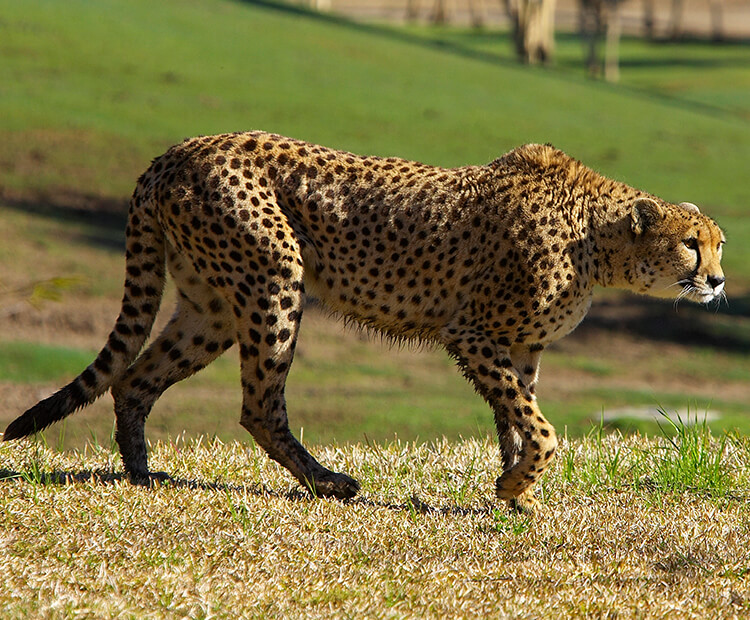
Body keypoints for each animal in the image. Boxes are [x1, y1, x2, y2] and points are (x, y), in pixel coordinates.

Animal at [1, 131, 728, 508]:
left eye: (719, 243)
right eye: (693, 244)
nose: (719, 280)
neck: (598, 238)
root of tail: (178, 149)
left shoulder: (518, 346)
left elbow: (516, 420)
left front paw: (514, 489)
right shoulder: (472, 333)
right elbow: (542, 428)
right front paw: (519, 483)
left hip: (210, 306)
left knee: (137, 378)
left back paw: (141, 473)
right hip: (274, 278)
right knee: (259, 404)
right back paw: (327, 482)